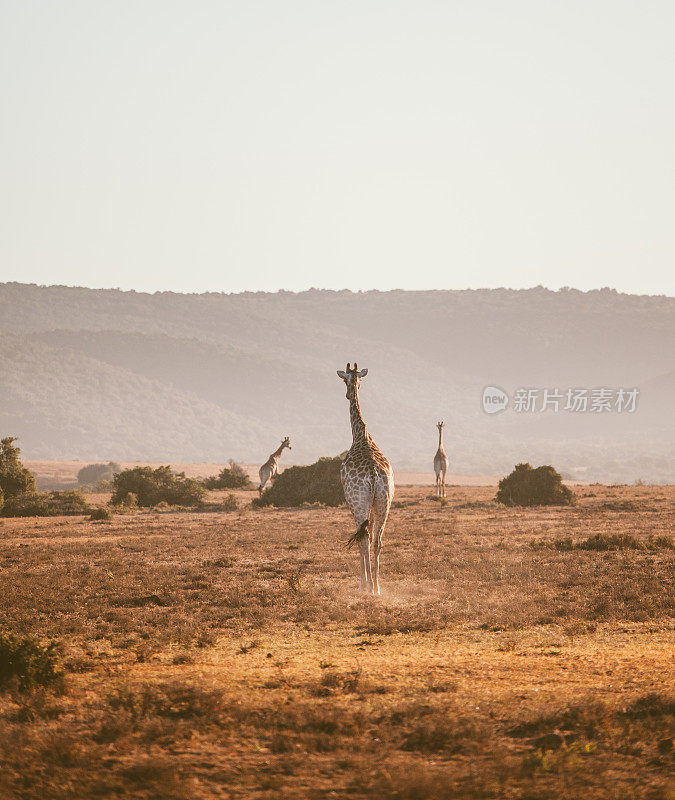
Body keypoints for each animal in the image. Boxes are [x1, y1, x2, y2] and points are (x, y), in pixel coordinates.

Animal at [338, 362, 396, 592]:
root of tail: (373, 474)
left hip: (359, 503)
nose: (347, 394)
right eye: (356, 380)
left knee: (364, 538)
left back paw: (368, 588)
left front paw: (362, 583)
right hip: (383, 502)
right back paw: (377, 588)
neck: (361, 435)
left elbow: (361, 538)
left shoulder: (352, 504)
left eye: (345, 379)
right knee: (377, 540)